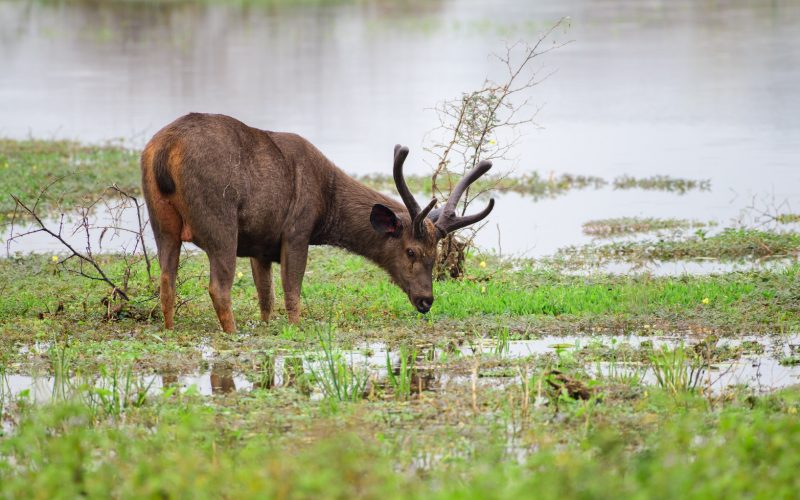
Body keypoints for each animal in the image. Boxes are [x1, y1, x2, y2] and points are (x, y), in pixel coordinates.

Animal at [141, 113, 495, 332]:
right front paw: (295, 329)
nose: (426, 300)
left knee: (166, 281)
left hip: (161, 221)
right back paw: (233, 332)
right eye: (411, 251)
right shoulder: (297, 230)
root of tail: (164, 150)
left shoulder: (259, 244)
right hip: (220, 219)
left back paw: (170, 329)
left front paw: (268, 327)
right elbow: (292, 294)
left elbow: (266, 298)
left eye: (436, 256)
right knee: (218, 287)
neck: (327, 207)